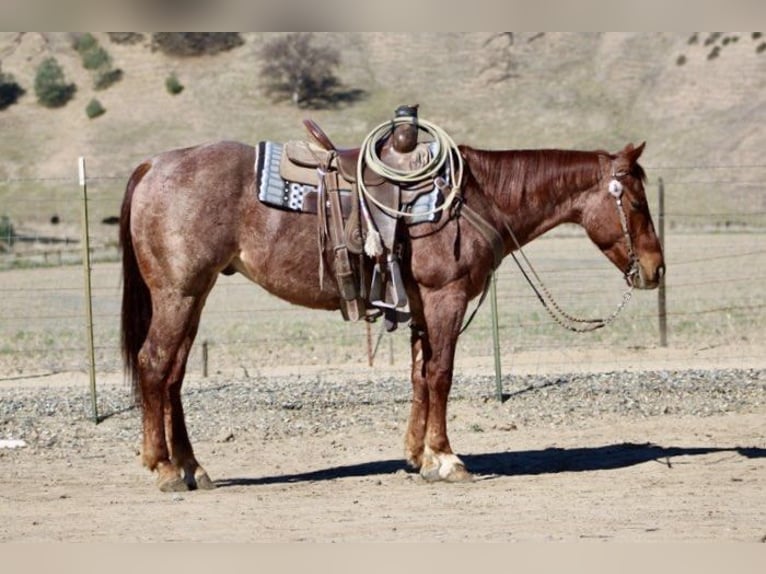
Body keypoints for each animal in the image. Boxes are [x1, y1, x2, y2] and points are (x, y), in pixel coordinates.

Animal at [118, 137, 664, 492]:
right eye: (637, 202)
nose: (656, 269)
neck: (476, 197)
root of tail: (151, 165)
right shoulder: (446, 299)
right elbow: (441, 375)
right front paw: (446, 458)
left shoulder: (423, 306)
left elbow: (420, 376)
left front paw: (418, 456)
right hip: (179, 293)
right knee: (153, 365)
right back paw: (164, 469)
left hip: (193, 296)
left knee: (173, 375)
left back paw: (193, 468)